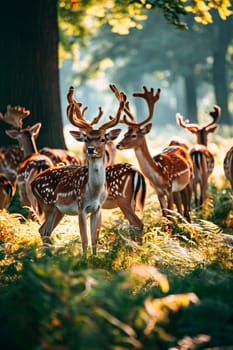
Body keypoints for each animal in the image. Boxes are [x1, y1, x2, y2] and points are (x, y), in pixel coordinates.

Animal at [113, 85, 193, 224]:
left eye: (133, 135)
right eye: (124, 134)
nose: (118, 145)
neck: (158, 175)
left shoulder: (169, 188)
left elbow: (170, 214)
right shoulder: (158, 192)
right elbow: (165, 215)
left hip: (189, 179)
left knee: (187, 206)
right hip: (178, 189)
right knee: (180, 207)